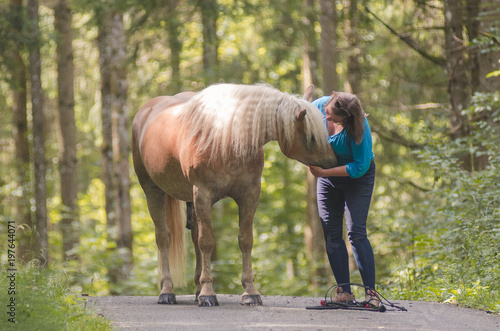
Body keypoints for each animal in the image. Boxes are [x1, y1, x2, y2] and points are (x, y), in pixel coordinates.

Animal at [131, 84, 338, 308]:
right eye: (312, 137)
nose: (335, 163)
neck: (227, 138)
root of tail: (146, 111)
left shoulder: (249, 195)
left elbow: (245, 240)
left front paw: (250, 292)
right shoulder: (203, 195)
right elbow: (207, 242)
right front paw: (208, 294)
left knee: (194, 239)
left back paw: (196, 289)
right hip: (153, 191)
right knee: (163, 238)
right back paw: (167, 291)